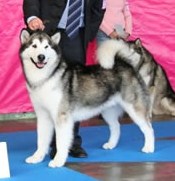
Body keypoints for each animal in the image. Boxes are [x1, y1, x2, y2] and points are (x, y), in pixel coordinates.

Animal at [19, 29, 154, 167]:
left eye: (46, 46)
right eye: (34, 46)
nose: (41, 56)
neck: (46, 78)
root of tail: (125, 63)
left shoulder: (62, 117)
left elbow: (61, 142)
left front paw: (58, 161)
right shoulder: (43, 116)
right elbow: (41, 140)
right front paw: (37, 157)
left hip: (134, 108)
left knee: (149, 128)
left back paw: (149, 147)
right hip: (107, 111)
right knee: (116, 126)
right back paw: (111, 144)